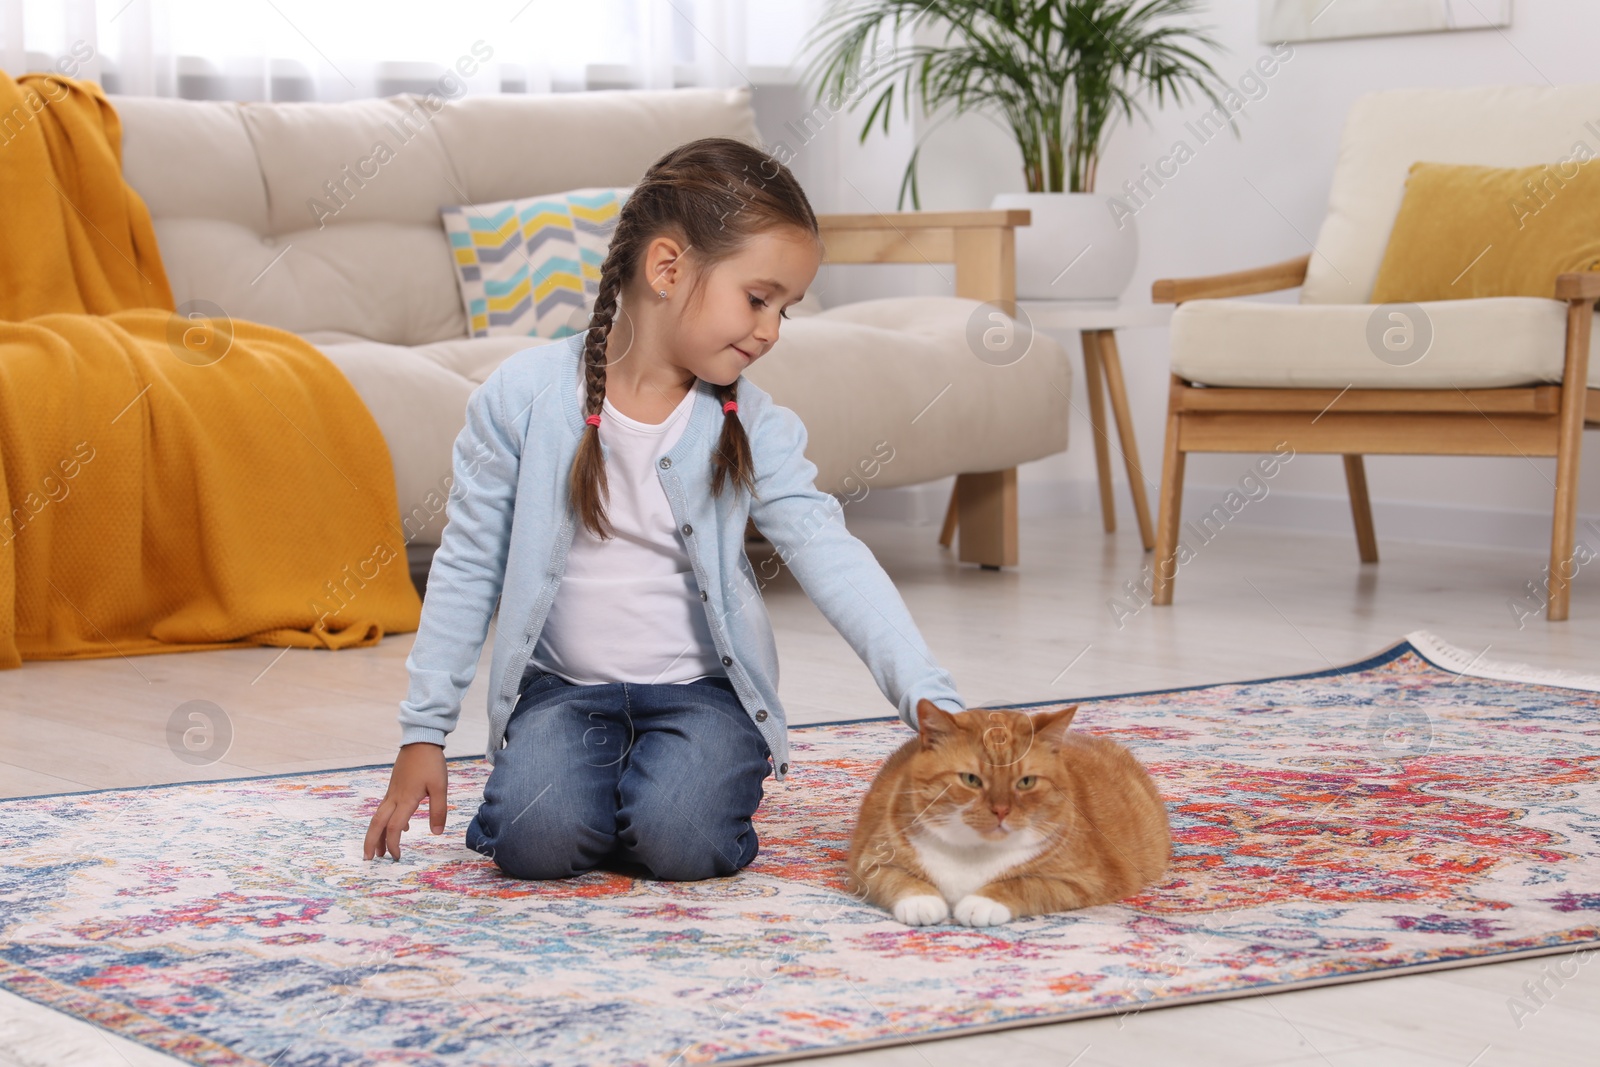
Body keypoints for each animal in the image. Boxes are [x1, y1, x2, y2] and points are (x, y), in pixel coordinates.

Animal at [844, 700, 1171, 927]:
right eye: (971, 779)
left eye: (1025, 782)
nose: (1001, 810)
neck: (973, 852)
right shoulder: (869, 862)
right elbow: (900, 880)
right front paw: (921, 902)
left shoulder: (1085, 880)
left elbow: (1025, 884)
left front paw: (982, 903)